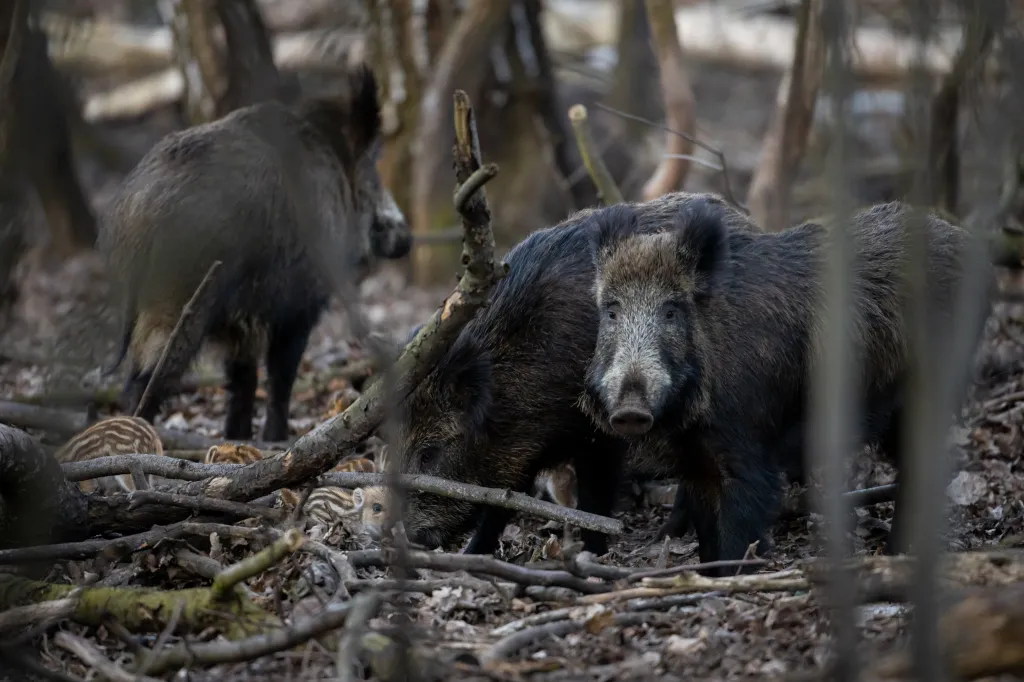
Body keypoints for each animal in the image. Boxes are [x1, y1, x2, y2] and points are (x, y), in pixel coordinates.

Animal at [100, 62, 411, 442]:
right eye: (371, 171)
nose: (407, 239)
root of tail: (138, 210)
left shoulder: (242, 322)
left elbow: (243, 377)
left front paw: (238, 437)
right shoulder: (301, 303)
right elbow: (281, 373)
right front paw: (276, 439)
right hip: (180, 303)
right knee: (146, 381)